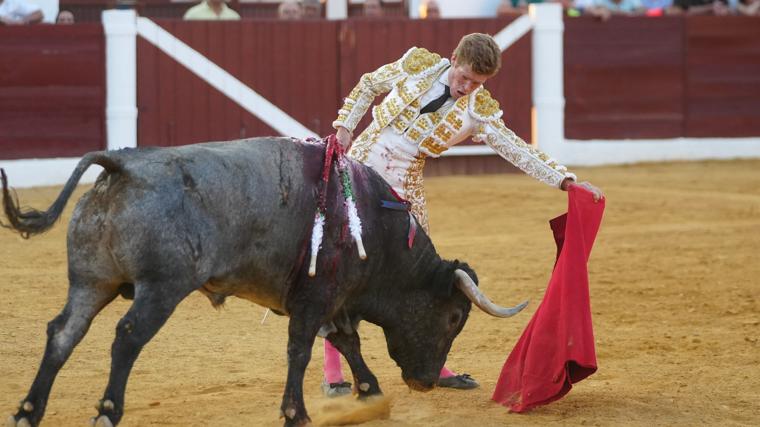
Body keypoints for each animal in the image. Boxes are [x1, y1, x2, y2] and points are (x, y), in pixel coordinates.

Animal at [1, 137, 524, 427]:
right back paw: (107, 410)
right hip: (161, 287)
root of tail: (122, 166)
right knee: (127, 336)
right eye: (454, 317)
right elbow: (302, 347)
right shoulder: (316, 296)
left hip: (91, 281)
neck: (374, 225)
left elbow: (347, 341)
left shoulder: (335, 298)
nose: (425, 383)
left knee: (63, 333)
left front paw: (370, 393)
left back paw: (28, 412)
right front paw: (297, 413)